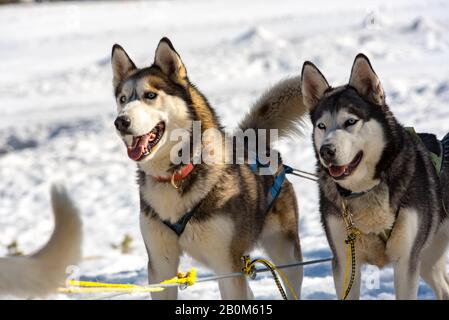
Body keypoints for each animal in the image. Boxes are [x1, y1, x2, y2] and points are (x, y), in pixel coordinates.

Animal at [110, 37, 306, 300]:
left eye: (150, 95)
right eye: (122, 99)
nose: (120, 122)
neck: (177, 173)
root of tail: (252, 142)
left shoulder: (227, 266)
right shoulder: (161, 266)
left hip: (286, 254)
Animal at [300, 53, 448, 298]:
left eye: (350, 121)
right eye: (321, 126)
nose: (326, 151)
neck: (365, 190)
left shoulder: (406, 262)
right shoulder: (345, 261)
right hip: (428, 257)